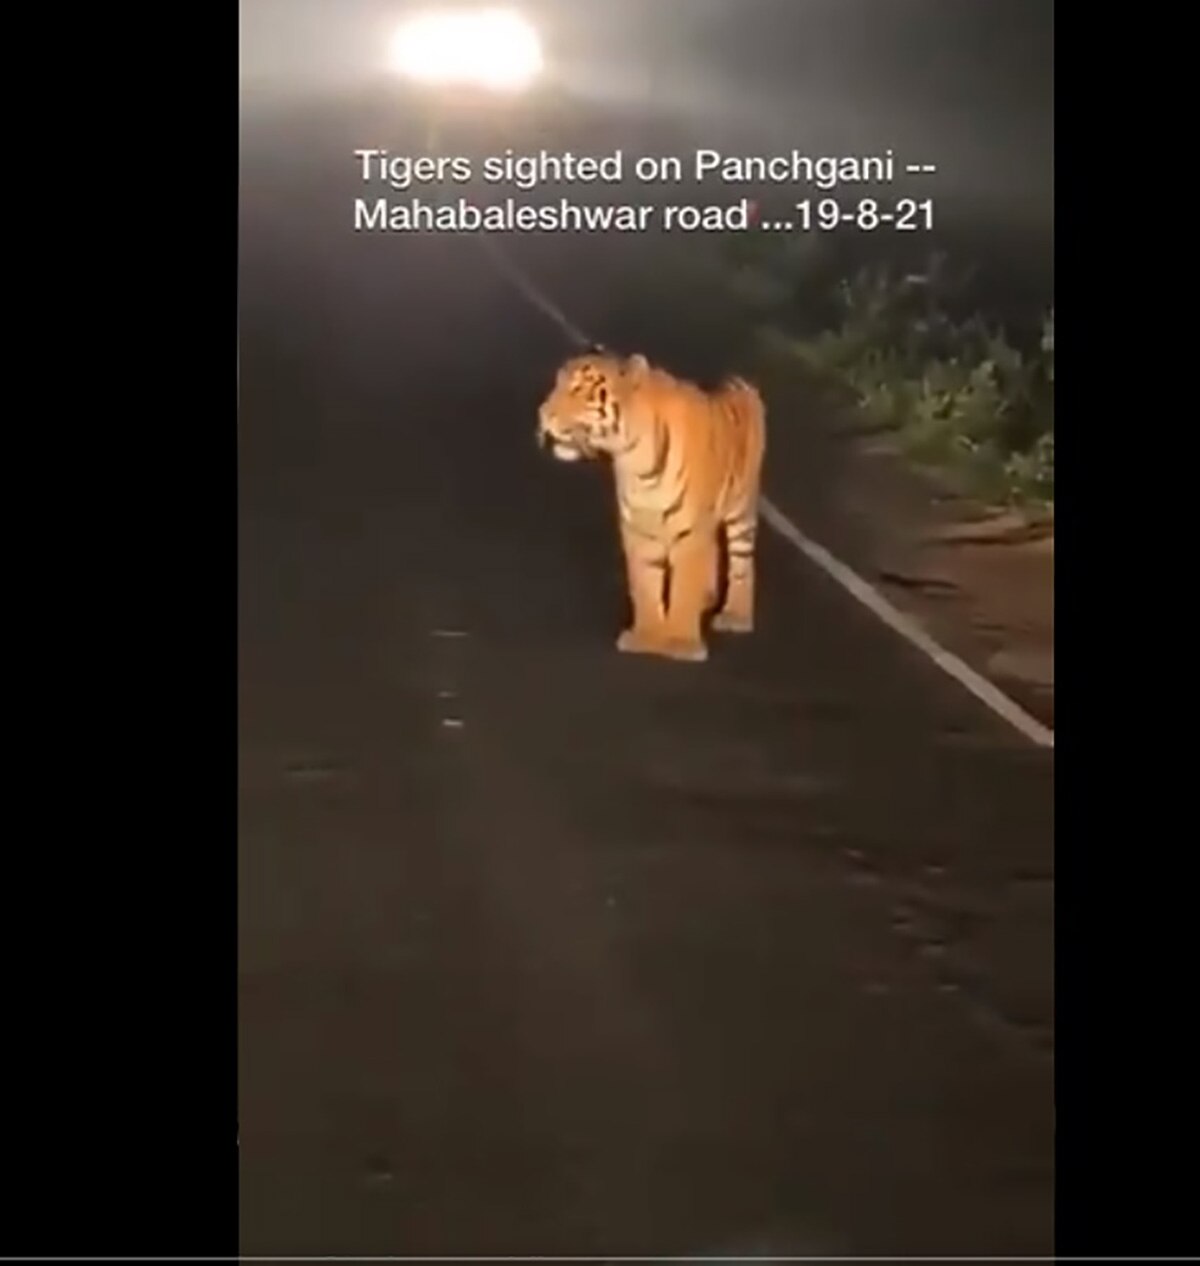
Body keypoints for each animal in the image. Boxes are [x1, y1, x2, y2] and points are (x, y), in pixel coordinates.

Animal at [536, 346, 767, 663]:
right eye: (557, 385)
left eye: (579, 390)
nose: (542, 415)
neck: (634, 457)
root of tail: (739, 380)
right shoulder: (638, 528)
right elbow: (645, 583)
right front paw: (646, 637)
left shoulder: (691, 533)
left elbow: (684, 587)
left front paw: (681, 642)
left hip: (741, 508)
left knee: (742, 562)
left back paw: (736, 615)